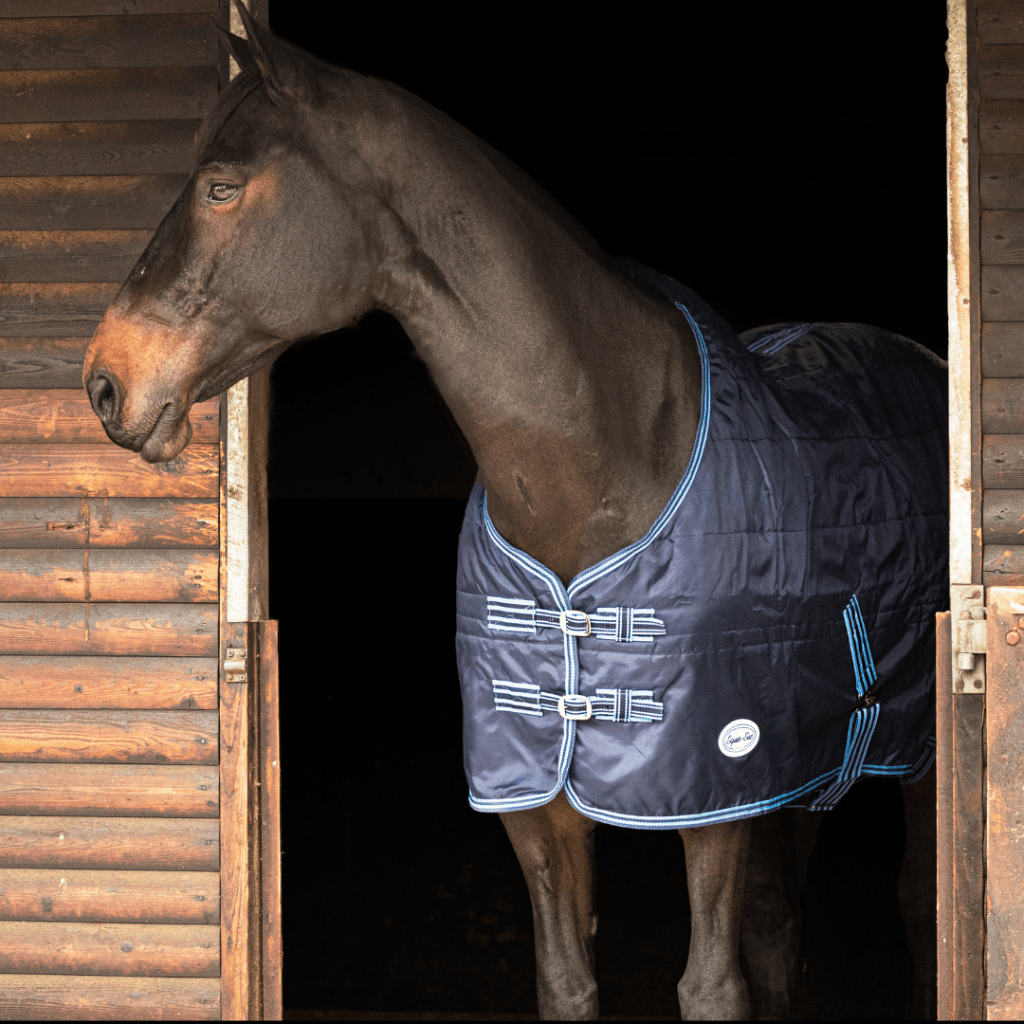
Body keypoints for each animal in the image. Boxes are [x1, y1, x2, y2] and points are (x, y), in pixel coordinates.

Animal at [82, 5, 945, 1018]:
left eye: (221, 187)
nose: (105, 381)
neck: (610, 462)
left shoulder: (715, 792)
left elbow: (710, 987)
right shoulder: (537, 796)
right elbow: (566, 980)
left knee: (915, 905)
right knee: (781, 928)